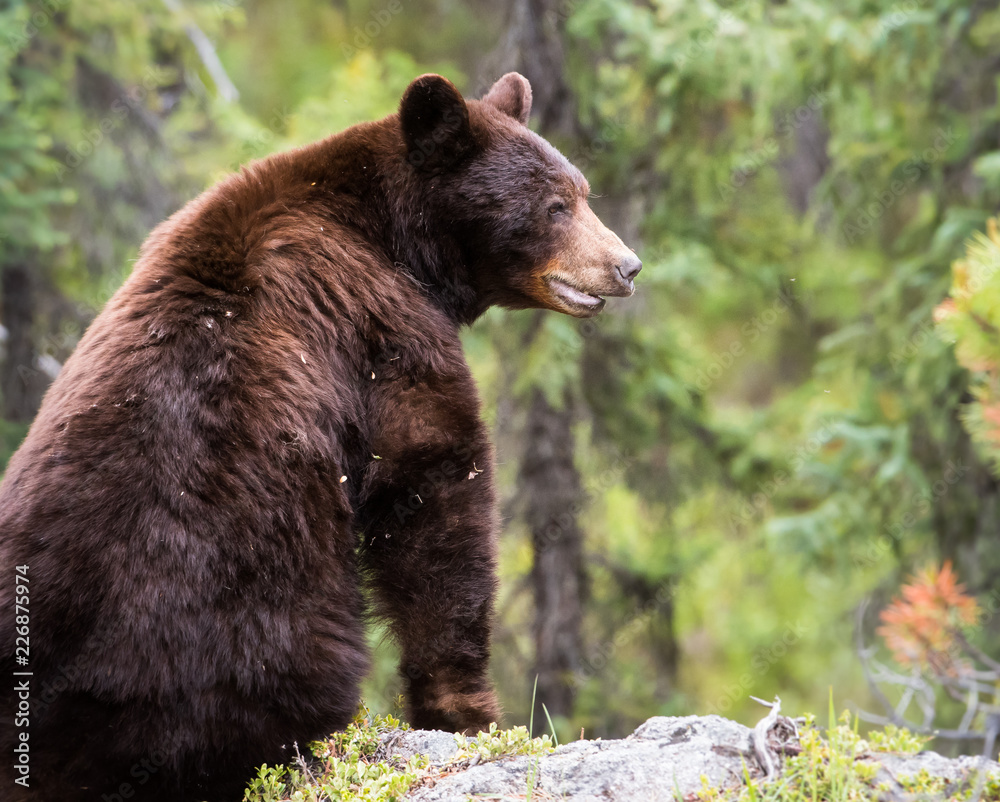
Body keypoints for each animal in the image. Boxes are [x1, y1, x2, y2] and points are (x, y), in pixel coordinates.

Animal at [0, 71, 640, 802]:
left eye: (582, 191)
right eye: (555, 205)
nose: (627, 265)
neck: (391, 239)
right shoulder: (385, 332)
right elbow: (433, 486)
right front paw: (468, 714)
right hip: (247, 600)